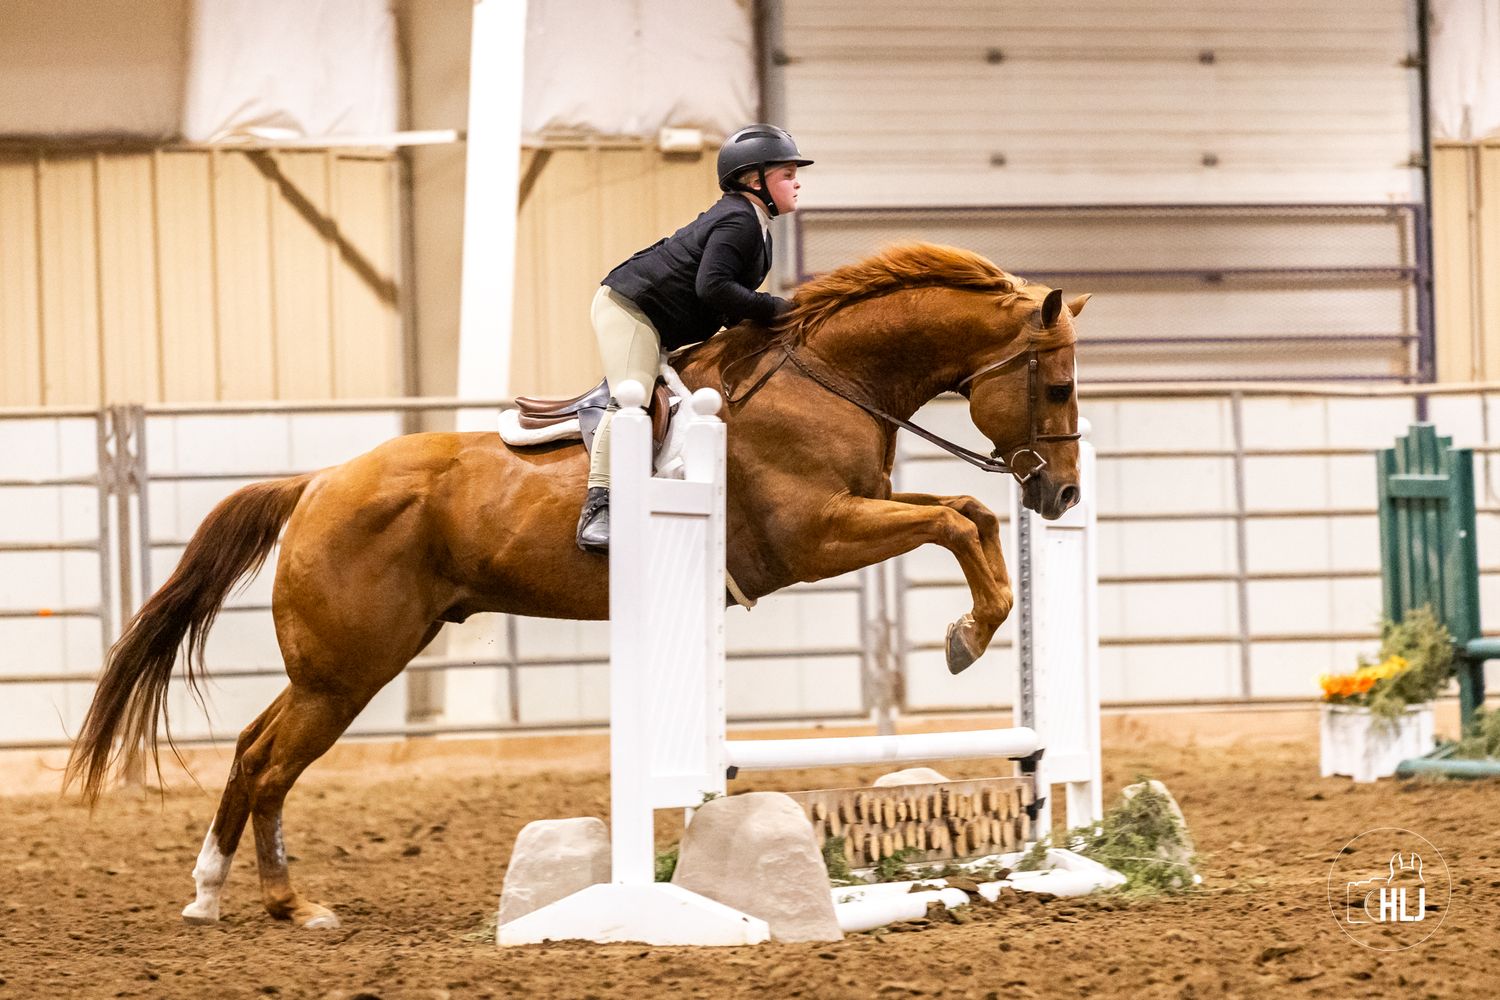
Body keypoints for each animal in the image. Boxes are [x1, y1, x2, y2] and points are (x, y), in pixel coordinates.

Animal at [65, 242, 1087, 929]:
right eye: (1059, 387)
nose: (1065, 494)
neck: (830, 376)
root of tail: (316, 484)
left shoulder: (857, 511)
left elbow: (968, 510)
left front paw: (977, 625)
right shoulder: (816, 536)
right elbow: (956, 517)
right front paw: (971, 635)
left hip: (338, 667)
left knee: (249, 750)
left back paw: (209, 894)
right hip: (350, 670)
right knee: (274, 763)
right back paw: (291, 906)